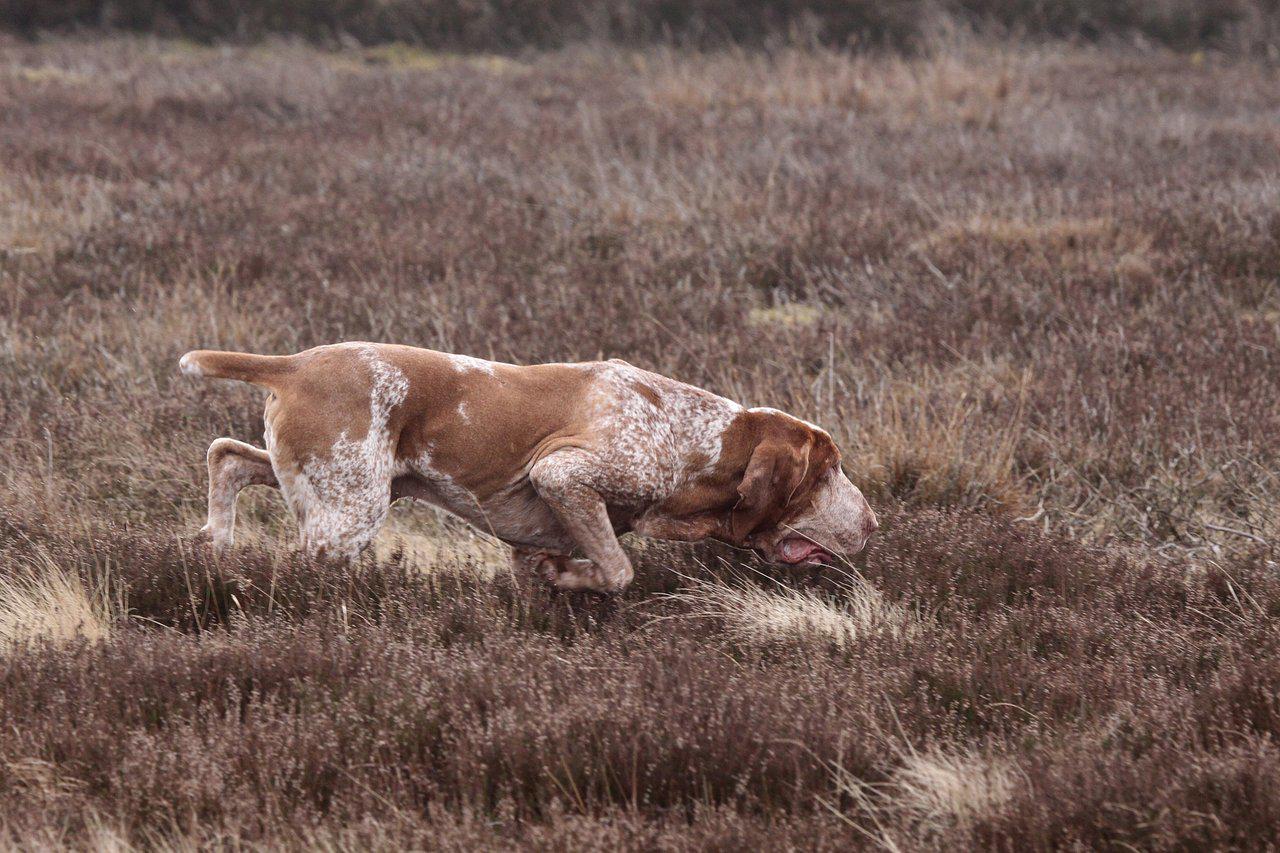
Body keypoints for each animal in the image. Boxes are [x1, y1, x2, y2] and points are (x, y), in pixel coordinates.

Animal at [183, 343, 880, 589]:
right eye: (829, 470)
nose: (874, 523)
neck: (698, 439)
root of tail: (294, 363)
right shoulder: (564, 476)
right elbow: (618, 571)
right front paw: (570, 576)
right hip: (349, 512)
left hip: (332, 481)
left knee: (226, 456)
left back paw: (213, 543)